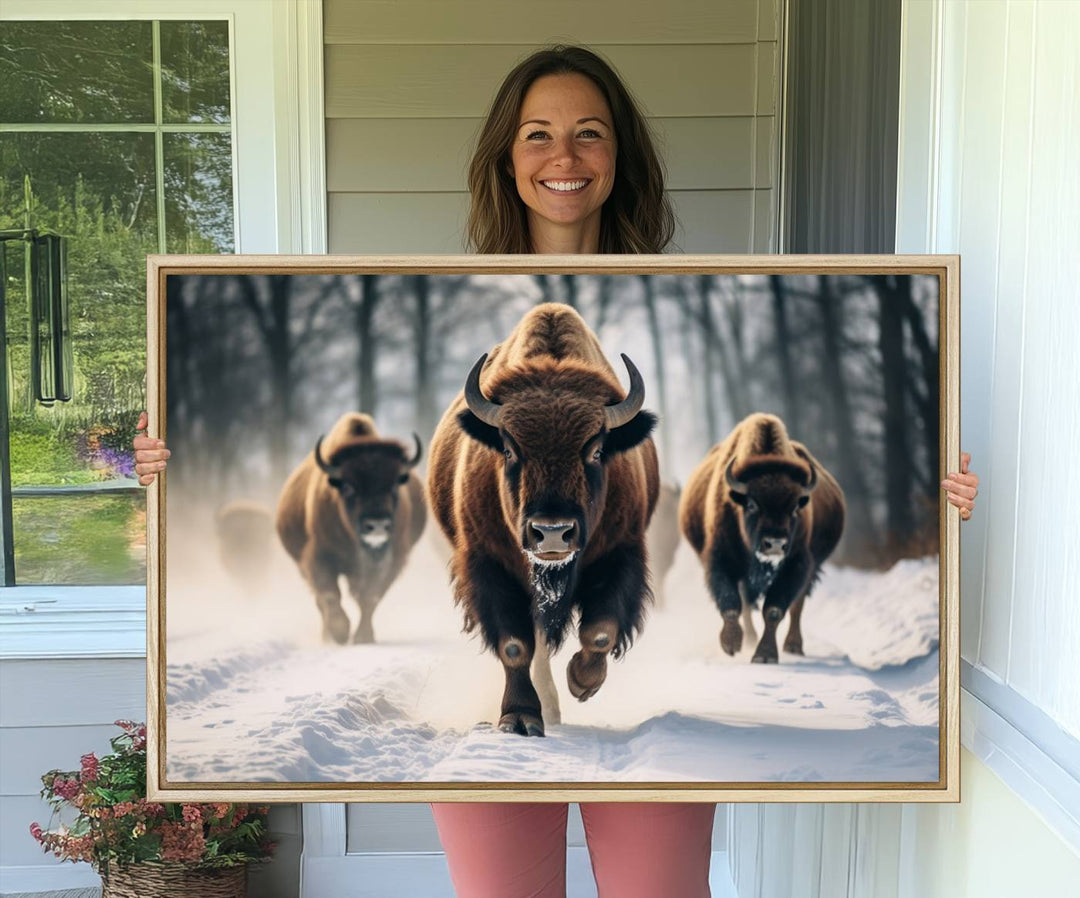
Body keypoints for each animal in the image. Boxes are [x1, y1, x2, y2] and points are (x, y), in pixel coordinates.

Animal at [274, 414, 425, 648]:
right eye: (348, 487)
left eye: (393, 486)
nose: (377, 525)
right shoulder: (318, 556)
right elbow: (329, 594)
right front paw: (340, 633)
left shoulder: (391, 560)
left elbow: (370, 597)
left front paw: (364, 637)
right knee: (321, 600)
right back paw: (327, 636)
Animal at [427, 304, 656, 739]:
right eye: (509, 448)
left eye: (596, 450)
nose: (552, 532)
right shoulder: (489, 564)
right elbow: (515, 645)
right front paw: (520, 718)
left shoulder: (621, 553)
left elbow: (601, 630)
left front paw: (582, 682)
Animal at [678, 412, 846, 661]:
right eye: (751, 505)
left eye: (795, 508)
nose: (775, 544)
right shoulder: (721, 560)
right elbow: (731, 604)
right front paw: (731, 644)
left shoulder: (797, 564)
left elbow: (774, 610)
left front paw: (764, 655)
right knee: (747, 603)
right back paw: (749, 639)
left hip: (812, 567)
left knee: (797, 605)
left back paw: (793, 646)